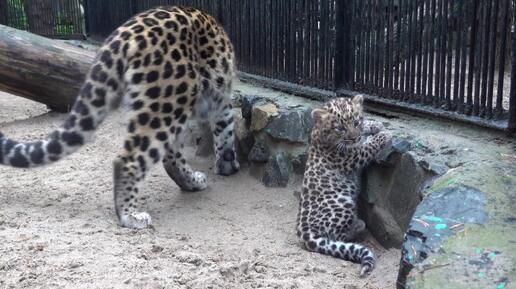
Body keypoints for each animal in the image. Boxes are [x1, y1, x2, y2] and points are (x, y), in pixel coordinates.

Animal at [0, 5, 240, 228]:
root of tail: (124, 33)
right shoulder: (221, 101)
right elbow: (225, 130)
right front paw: (228, 164)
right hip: (168, 100)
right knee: (129, 159)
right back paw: (130, 216)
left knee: (169, 156)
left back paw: (191, 183)